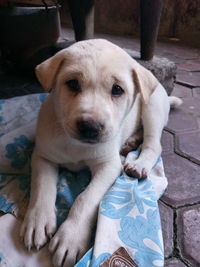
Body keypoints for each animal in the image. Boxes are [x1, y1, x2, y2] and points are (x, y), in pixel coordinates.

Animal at [20, 38, 181, 266]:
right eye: (72, 84)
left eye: (117, 89)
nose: (90, 127)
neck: (75, 144)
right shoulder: (43, 156)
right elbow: (42, 186)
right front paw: (38, 220)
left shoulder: (109, 165)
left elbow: (86, 198)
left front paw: (71, 236)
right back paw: (130, 141)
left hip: (152, 107)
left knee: (153, 143)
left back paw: (139, 163)